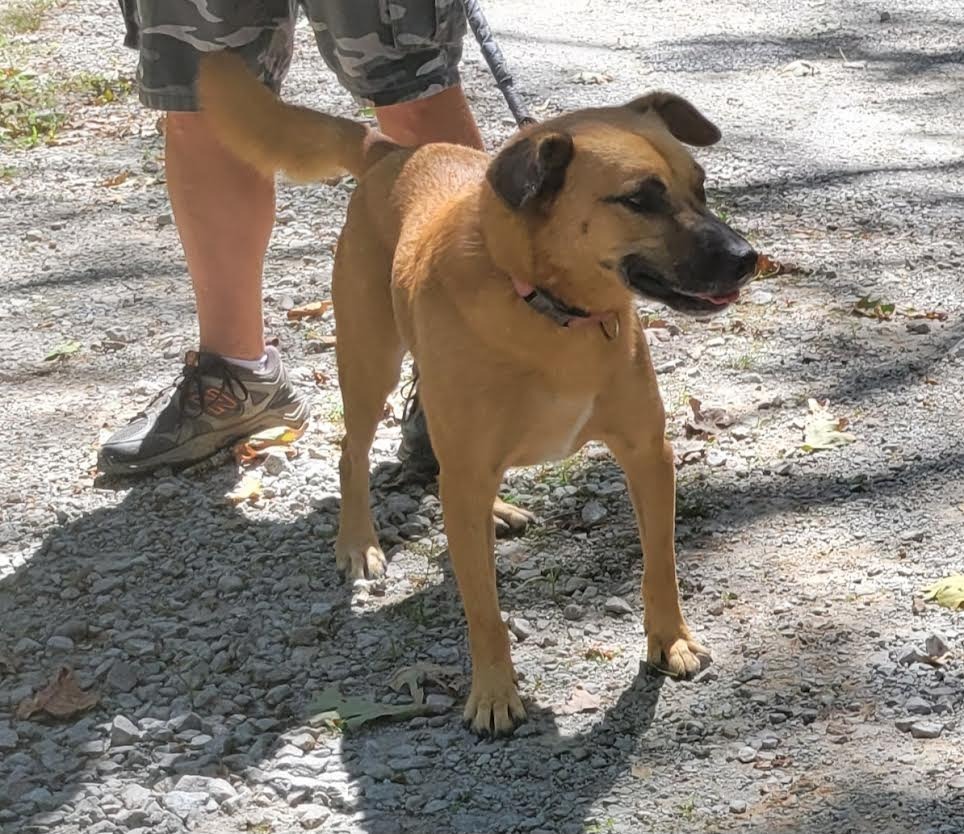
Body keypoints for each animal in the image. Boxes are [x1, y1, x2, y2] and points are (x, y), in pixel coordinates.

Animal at [200, 53, 756, 736]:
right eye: (639, 200)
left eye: (700, 187)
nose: (747, 258)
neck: (553, 313)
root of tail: (391, 151)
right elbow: (483, 608)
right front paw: (493, 692)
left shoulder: (648, 455)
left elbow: (661, 564)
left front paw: (670, 639)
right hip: (370, 365)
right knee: (353, 454)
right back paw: (358, 544)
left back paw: (495, 510)